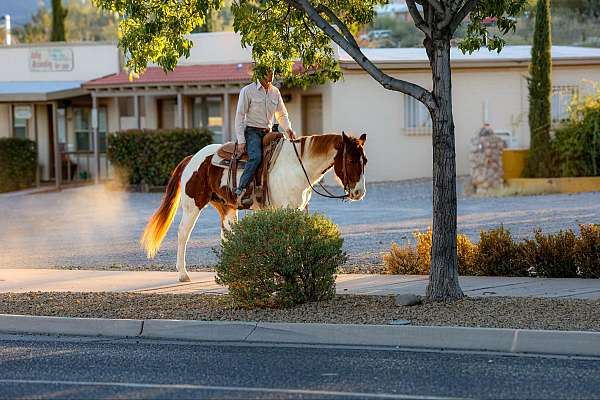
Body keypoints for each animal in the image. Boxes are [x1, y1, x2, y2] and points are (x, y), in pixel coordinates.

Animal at [142, 131, 366, 282]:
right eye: (351, 160)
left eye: (364, 160)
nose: (359, 193)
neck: (297, 166)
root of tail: (193, 158)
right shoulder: (285, 210)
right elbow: (287, 241)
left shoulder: (298, 210)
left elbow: (298, 238)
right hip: (192, 206)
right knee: (183, 234)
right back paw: (183, 274)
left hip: (227, 207)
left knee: (227, 234)